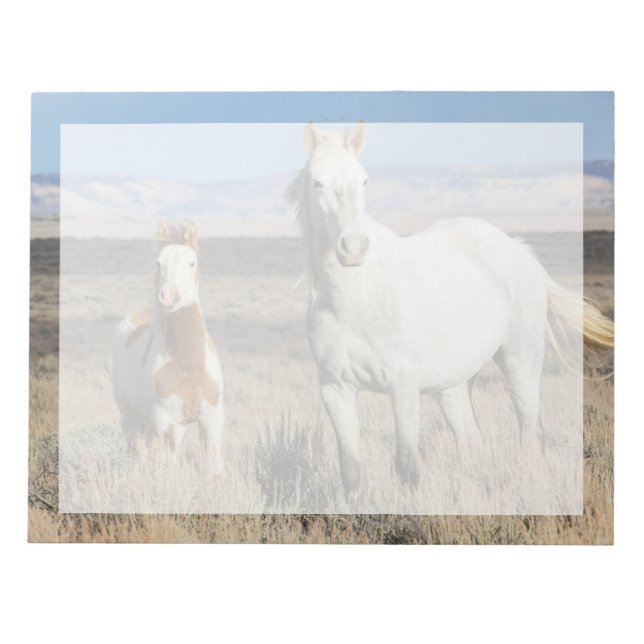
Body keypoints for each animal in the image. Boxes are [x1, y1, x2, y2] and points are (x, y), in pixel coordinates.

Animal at [112, 221, 225, 472]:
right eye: (158, 262)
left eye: (192, 262)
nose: (169, 296)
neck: (188, 366)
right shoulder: (167, 424)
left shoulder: (210, 422)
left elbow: (212, 465)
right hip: (131, 418)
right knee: (138, 452)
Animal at [289, 122, 614, 492]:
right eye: (316, 182)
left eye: (364, 180)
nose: (354, 248)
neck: (355, 301)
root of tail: (517, 249)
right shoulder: (336, 390)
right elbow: (351, 473)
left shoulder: (403, 386)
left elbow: (407, 467)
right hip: (455, 383)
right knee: (472, 441)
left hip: (521, 362)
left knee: (531, 434)